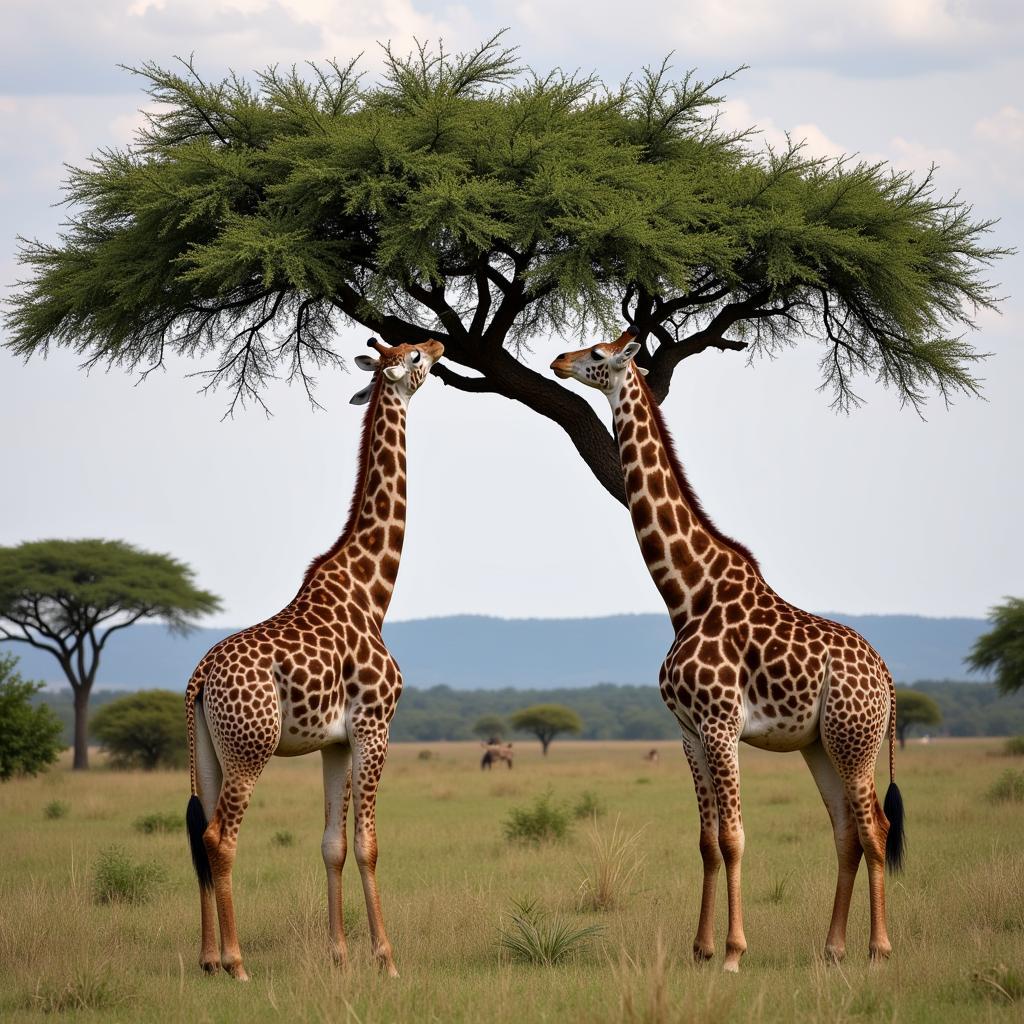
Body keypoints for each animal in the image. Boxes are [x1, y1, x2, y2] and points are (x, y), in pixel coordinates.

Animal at [184, 333, 444, 974]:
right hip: (249, 749)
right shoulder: (375, 725)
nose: (438, 342)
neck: (371, 593)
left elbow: (332, 844)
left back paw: (207, 959)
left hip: (208, 751)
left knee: (200, 833)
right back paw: (237, 963)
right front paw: (386, 959)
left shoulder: (334, 742)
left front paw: (339, 956)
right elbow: (368, 843)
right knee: (220, 837)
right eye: (415, 359)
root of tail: (200, 678)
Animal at [552, 331, 905, 970]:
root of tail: (887, 678)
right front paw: (700, 948)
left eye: (597, 353)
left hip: (854, 738)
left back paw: (877, 950)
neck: (686, 592)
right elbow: (708, 841)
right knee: (845, 828)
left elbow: (736, 837)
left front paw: (736, 952)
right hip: (819, 745)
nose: (557, 361)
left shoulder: (720, 724)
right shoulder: (688, 731)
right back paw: (833, 948)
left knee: (876, 828)